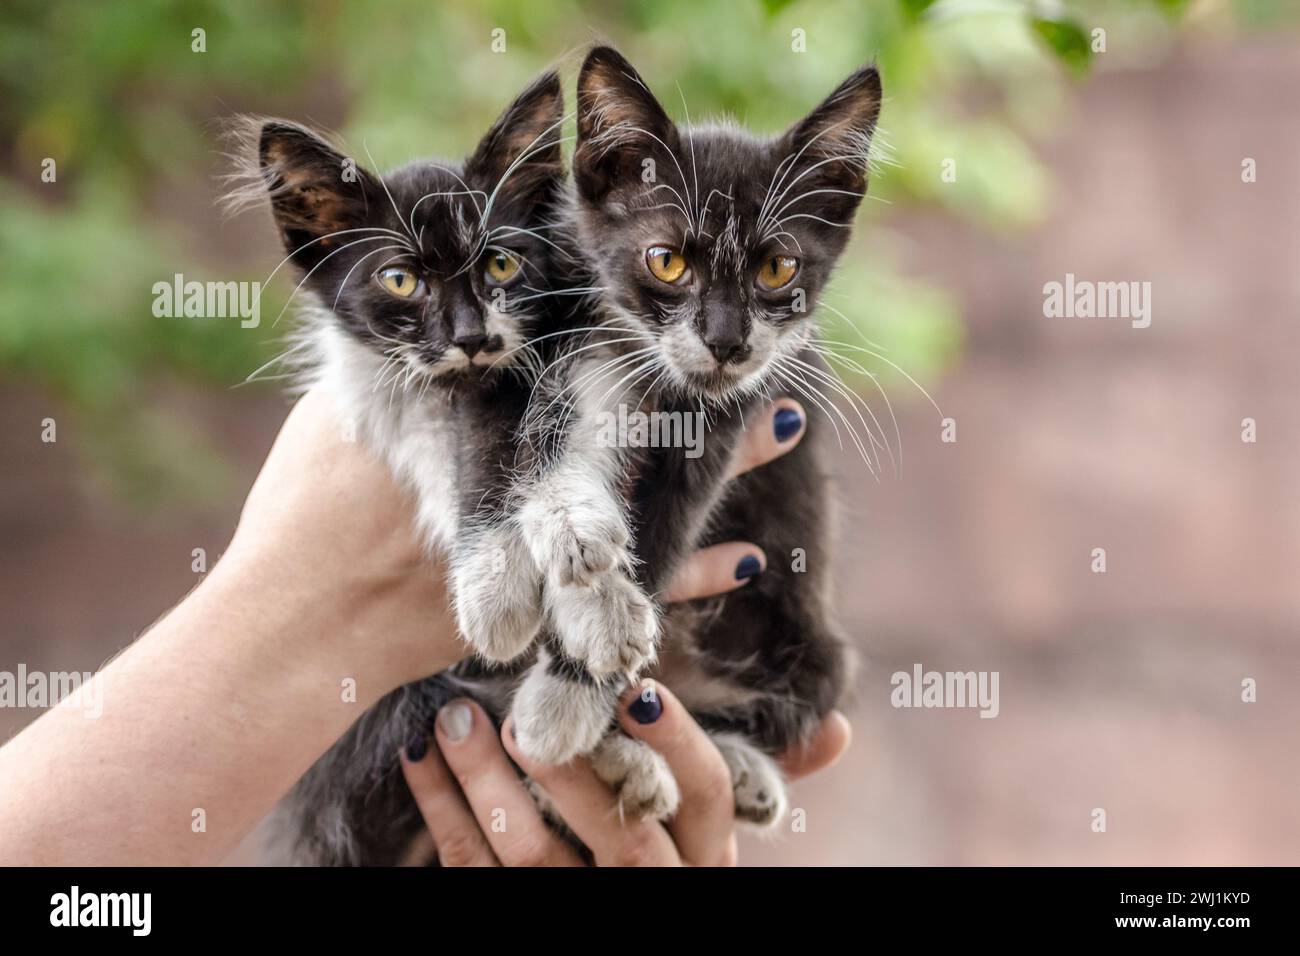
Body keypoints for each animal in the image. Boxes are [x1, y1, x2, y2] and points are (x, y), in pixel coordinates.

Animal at [473, 48, 889, 832]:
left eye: (778, 268)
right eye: (666, 261)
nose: (726, 343)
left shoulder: (733, 421)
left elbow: (663, 534)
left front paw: (568, 693)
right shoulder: (577, 347)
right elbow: (547, 452)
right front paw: (568, 538)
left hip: (816, 649)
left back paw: (722, 766)